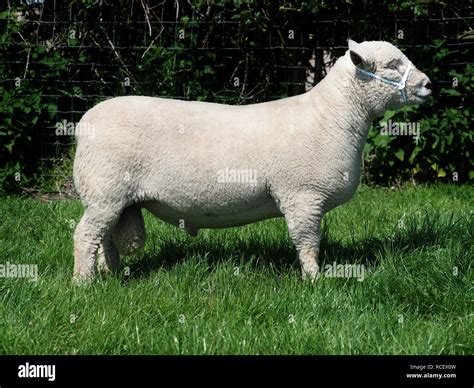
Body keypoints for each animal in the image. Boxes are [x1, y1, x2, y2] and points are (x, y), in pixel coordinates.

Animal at [72, 39, 432, 282]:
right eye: (392, 65)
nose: (429, 85)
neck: (329, 116)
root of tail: (84, 122)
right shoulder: (303, 196)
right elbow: (308, 243)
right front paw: (314, 281)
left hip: (114, 197)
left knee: (104, 239)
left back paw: (113, 273)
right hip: (105, 190)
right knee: (85, 236)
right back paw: (84, 284)